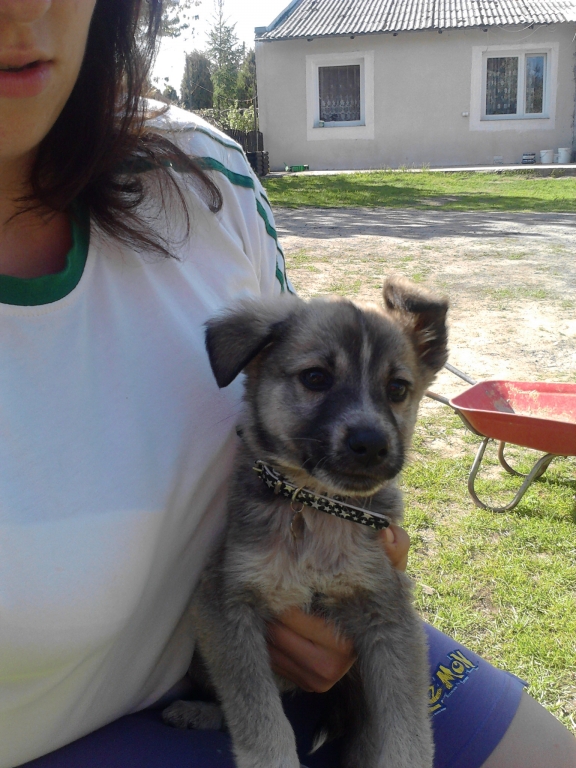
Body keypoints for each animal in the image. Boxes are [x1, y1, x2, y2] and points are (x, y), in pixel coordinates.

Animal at [163, 277, 449, 768]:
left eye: (397, 388)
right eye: (316, 378)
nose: (371, 444)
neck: (315, 505)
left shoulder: (388, 612)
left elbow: (406, 727)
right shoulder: (224, 604)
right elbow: (258, 717)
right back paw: (196, 712)